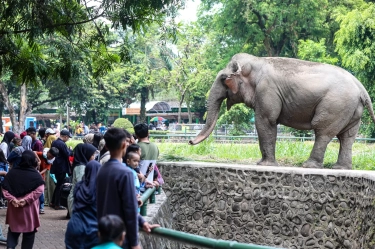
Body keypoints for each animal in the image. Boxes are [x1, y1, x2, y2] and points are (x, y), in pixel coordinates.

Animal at [191, 53, 375, 169]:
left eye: (224, 79)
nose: (190, 142)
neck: (256, 62)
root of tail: (361, 87)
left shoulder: (267, 90)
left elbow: (266, 121)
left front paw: (264, 165)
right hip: (351, 109)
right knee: (347, 137)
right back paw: (340, 168)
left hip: (336, 104)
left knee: (323, 131)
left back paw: (309, 165)